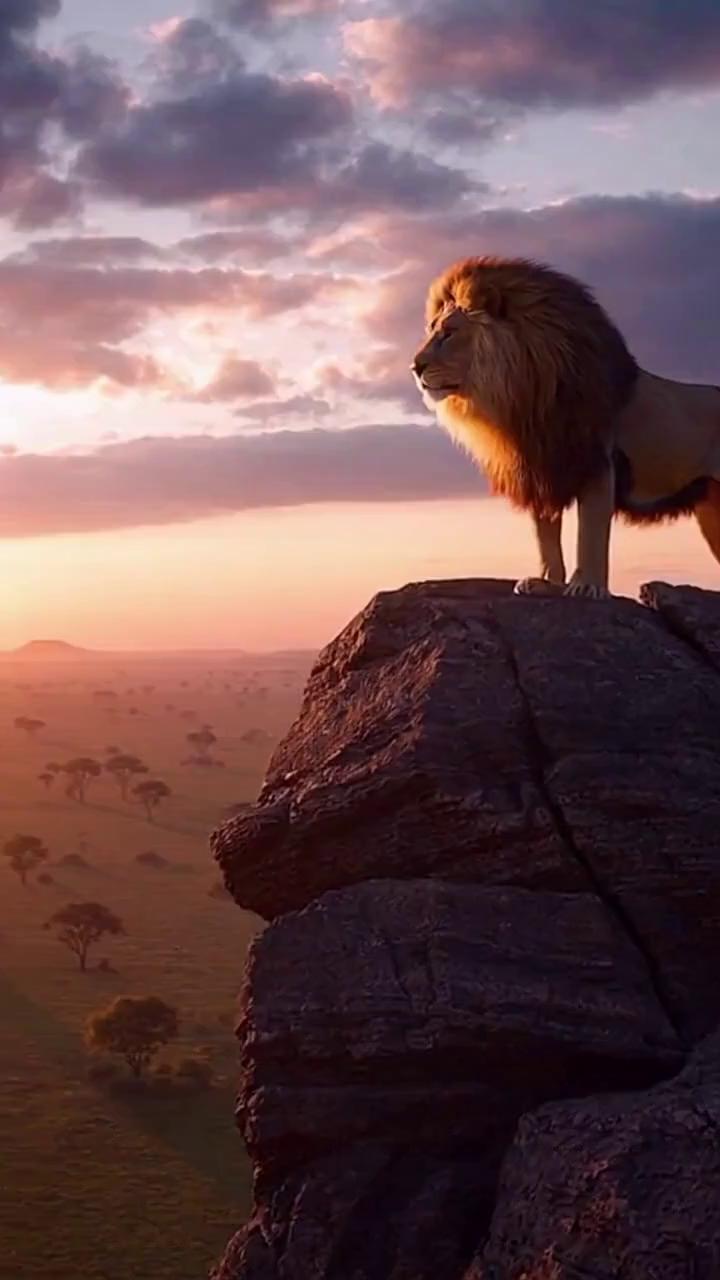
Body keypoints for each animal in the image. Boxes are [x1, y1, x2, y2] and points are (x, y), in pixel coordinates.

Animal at [411, 255, 720, 597]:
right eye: (432, 330)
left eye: (449, 333)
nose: (415, 366)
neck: (521, 393)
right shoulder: (540, 467)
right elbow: (545, 533)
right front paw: (546, 582)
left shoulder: (596, 462)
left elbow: (590, 532)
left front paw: (587, 586)